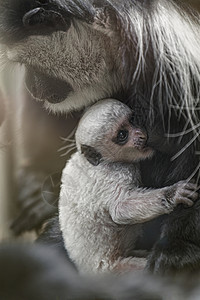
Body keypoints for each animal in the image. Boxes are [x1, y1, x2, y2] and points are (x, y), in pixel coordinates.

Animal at [58, 99, 198, 276]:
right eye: (122, 135)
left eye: (132, 120)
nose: (141, 135)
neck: (99, 161)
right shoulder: (116, 173)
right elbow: (119, 209)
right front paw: (173, 193)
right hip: (113, 269)